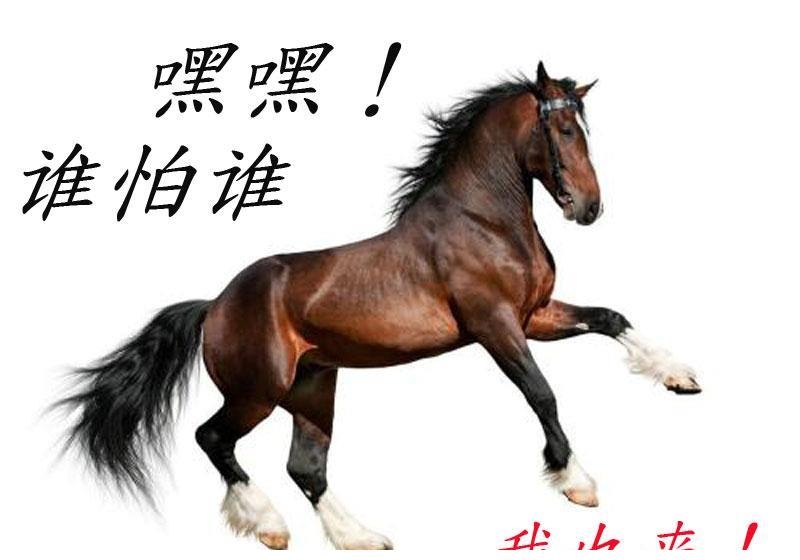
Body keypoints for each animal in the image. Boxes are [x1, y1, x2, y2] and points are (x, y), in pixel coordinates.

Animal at [55, 62, 701, 550]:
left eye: (582, 128)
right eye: (562, 129)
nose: (588, 208)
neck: (484, 221)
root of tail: (214, 304)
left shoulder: (534, 317)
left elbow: (612, 319)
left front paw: (680, 377)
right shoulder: (495, 326)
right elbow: (541, 393)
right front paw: (576, 482)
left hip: (314, 387)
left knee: (306, 468)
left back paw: (360, 537)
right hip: (258, 390)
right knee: (213, 439)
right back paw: (268, 526)